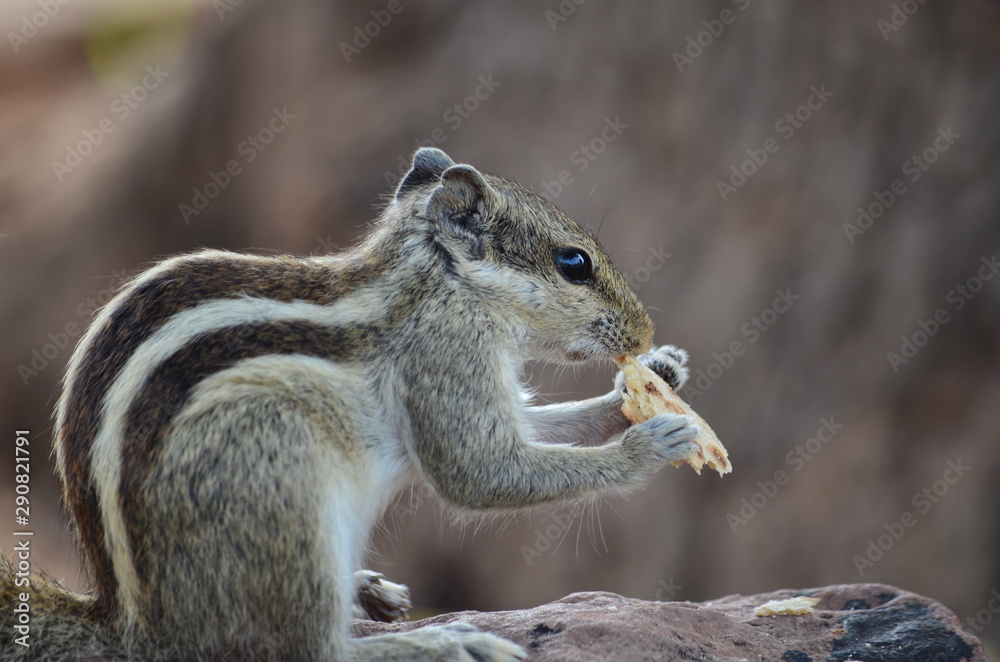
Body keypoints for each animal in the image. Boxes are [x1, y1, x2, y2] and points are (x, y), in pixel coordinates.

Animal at [1, 148, 696, 661]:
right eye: (574, 263)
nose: (643, 335)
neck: (438, 279)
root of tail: (137, 630)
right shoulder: (448, 356)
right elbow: (480, 472)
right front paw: (646, 445)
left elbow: (534, 428)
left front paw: (655, 379)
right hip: (283, 485)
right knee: (313, 651)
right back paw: (441, 641)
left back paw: (370, 592)